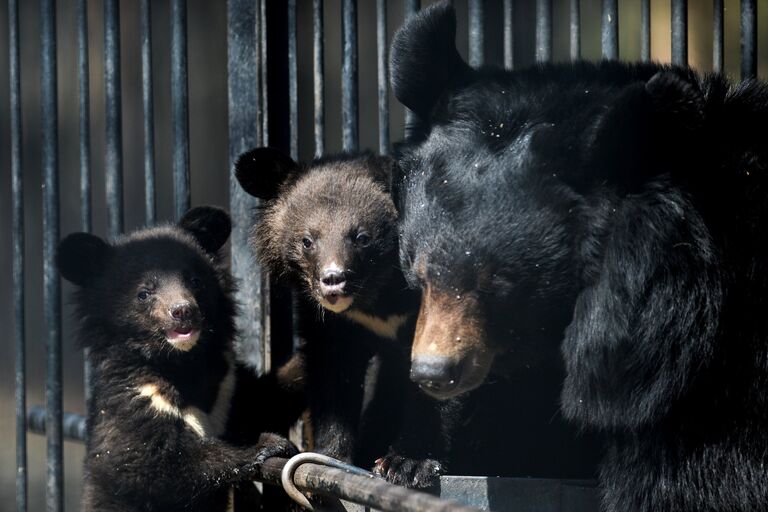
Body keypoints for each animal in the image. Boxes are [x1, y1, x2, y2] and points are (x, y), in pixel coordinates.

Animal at [58, 207, 298, 512]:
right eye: (144, 293)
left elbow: (267, 397)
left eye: (195, 281)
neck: (182, 362)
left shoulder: (228, 387)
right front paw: (269, 445)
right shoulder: (133, 399)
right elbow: (153, 464)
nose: (183, 311)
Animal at [234, 149, 444, 488]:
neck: (377, 294)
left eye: (362, 238)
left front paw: (407, 465)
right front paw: (332, 458)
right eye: (307, 240)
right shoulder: (329, 324)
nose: (333, 280)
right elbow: (333, 376)